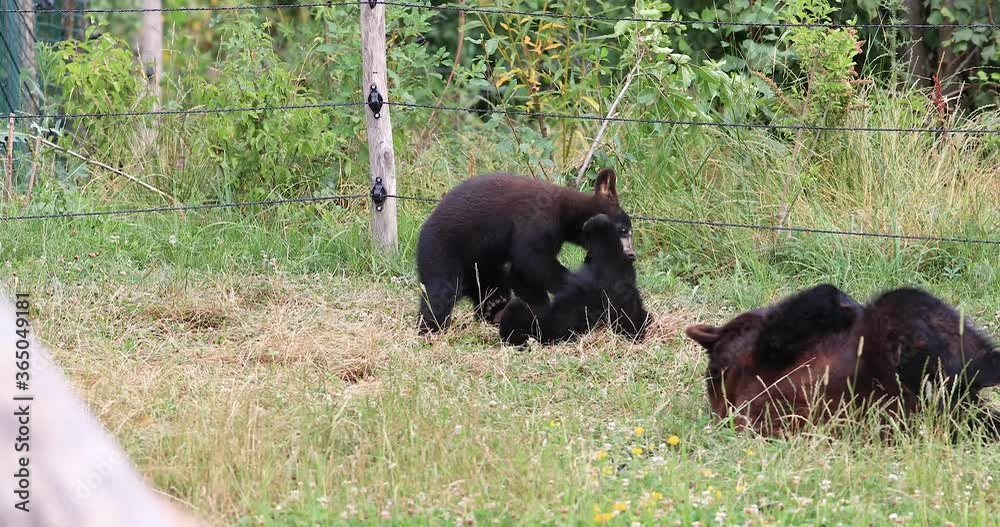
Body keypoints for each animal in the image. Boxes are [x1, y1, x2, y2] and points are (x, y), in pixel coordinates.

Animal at [414, 170, 632, 334]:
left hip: (484, 266)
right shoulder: (537, 221)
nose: (632, 254)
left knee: (493, 287)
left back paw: (494, 311)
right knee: (440, 292)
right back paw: (431, 327)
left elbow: (523, 273)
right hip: (442, 251)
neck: (566, 213)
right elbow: (533, 261)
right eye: (624, 230)